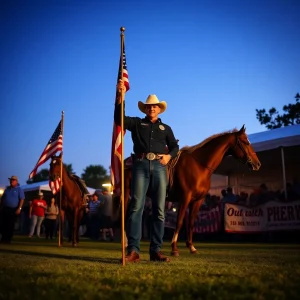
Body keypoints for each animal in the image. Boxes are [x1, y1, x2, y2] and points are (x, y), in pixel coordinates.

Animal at [112, 125, 260, 255]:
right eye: (245, 142)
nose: (257, 163)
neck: (200, 166)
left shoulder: (197, 200)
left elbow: (191, 223)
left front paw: (192, 247)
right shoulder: (185, 199)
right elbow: (180, 222)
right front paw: (174, 248)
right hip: (127, 193)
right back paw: (125, 244)